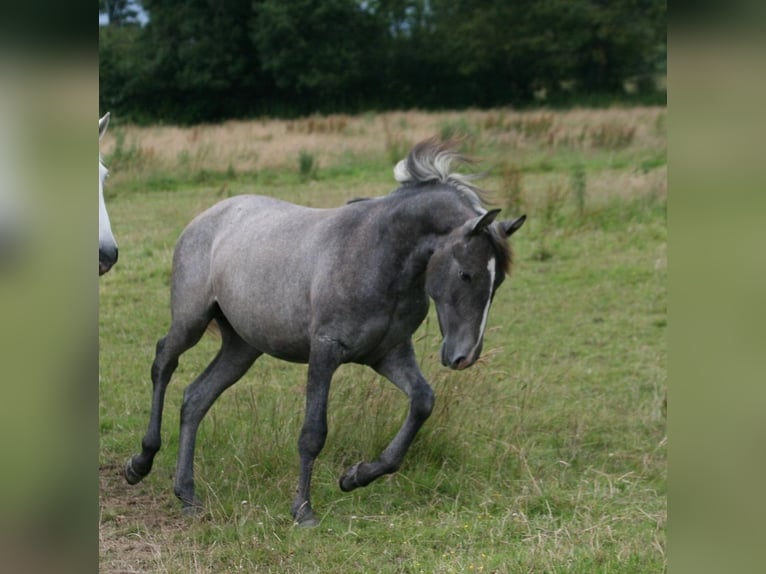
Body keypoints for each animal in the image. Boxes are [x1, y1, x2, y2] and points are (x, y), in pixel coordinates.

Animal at [126, 138, 528, 528]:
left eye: (498, 282)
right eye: (466, 274)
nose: (465, 356)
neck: (378, 253)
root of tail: (206, 218)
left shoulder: (388, 353)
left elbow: (422, 402)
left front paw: (355, 477)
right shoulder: (325, 350)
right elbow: (313, 433)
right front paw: (303, 511)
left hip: (242, 348)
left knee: (195, 399)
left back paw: (187, 495)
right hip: (191, 322)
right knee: (163, 362)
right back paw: (141, 462)